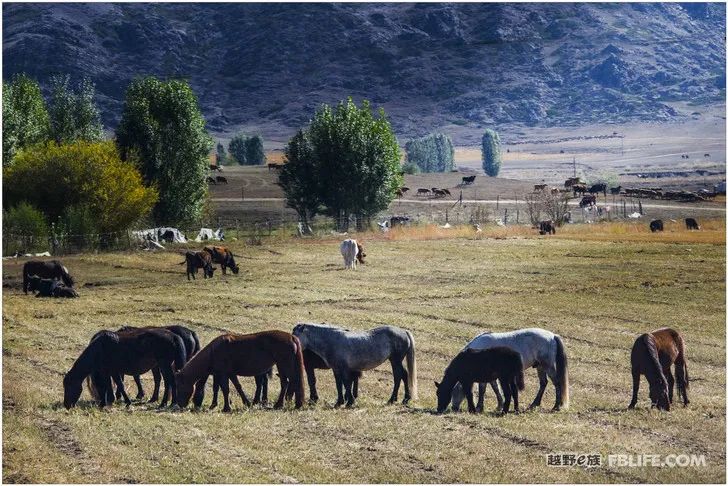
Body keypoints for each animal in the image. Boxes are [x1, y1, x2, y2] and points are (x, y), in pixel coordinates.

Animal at [175, 330, 306, 410]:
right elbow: (236, 387)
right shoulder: (229, 374)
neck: (213, 352)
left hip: (284, 365)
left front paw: (226, 408)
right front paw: (246, 403)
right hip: (282, 366)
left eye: (180, 386)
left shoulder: (223, 374)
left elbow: (225, 389)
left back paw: (282, 404)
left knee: (290, 383)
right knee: (288, 383)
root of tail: (291, 337)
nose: (180, 405)